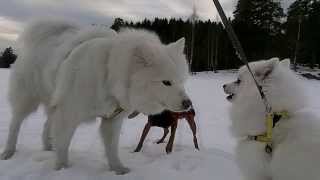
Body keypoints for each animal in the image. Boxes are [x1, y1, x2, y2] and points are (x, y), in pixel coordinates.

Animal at [1, 19, 191, 174]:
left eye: (181, 81)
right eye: (166, 82)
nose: (188, 103)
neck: (108, 75)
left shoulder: (112, 120)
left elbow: (112, 148)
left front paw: (118, 169)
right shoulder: (68, 114)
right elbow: (63, 145)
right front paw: (62, 169)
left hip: (54, 103)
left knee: (47, 125)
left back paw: (48, 147)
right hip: (27, 101)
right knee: (15, 125)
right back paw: (8, 152)